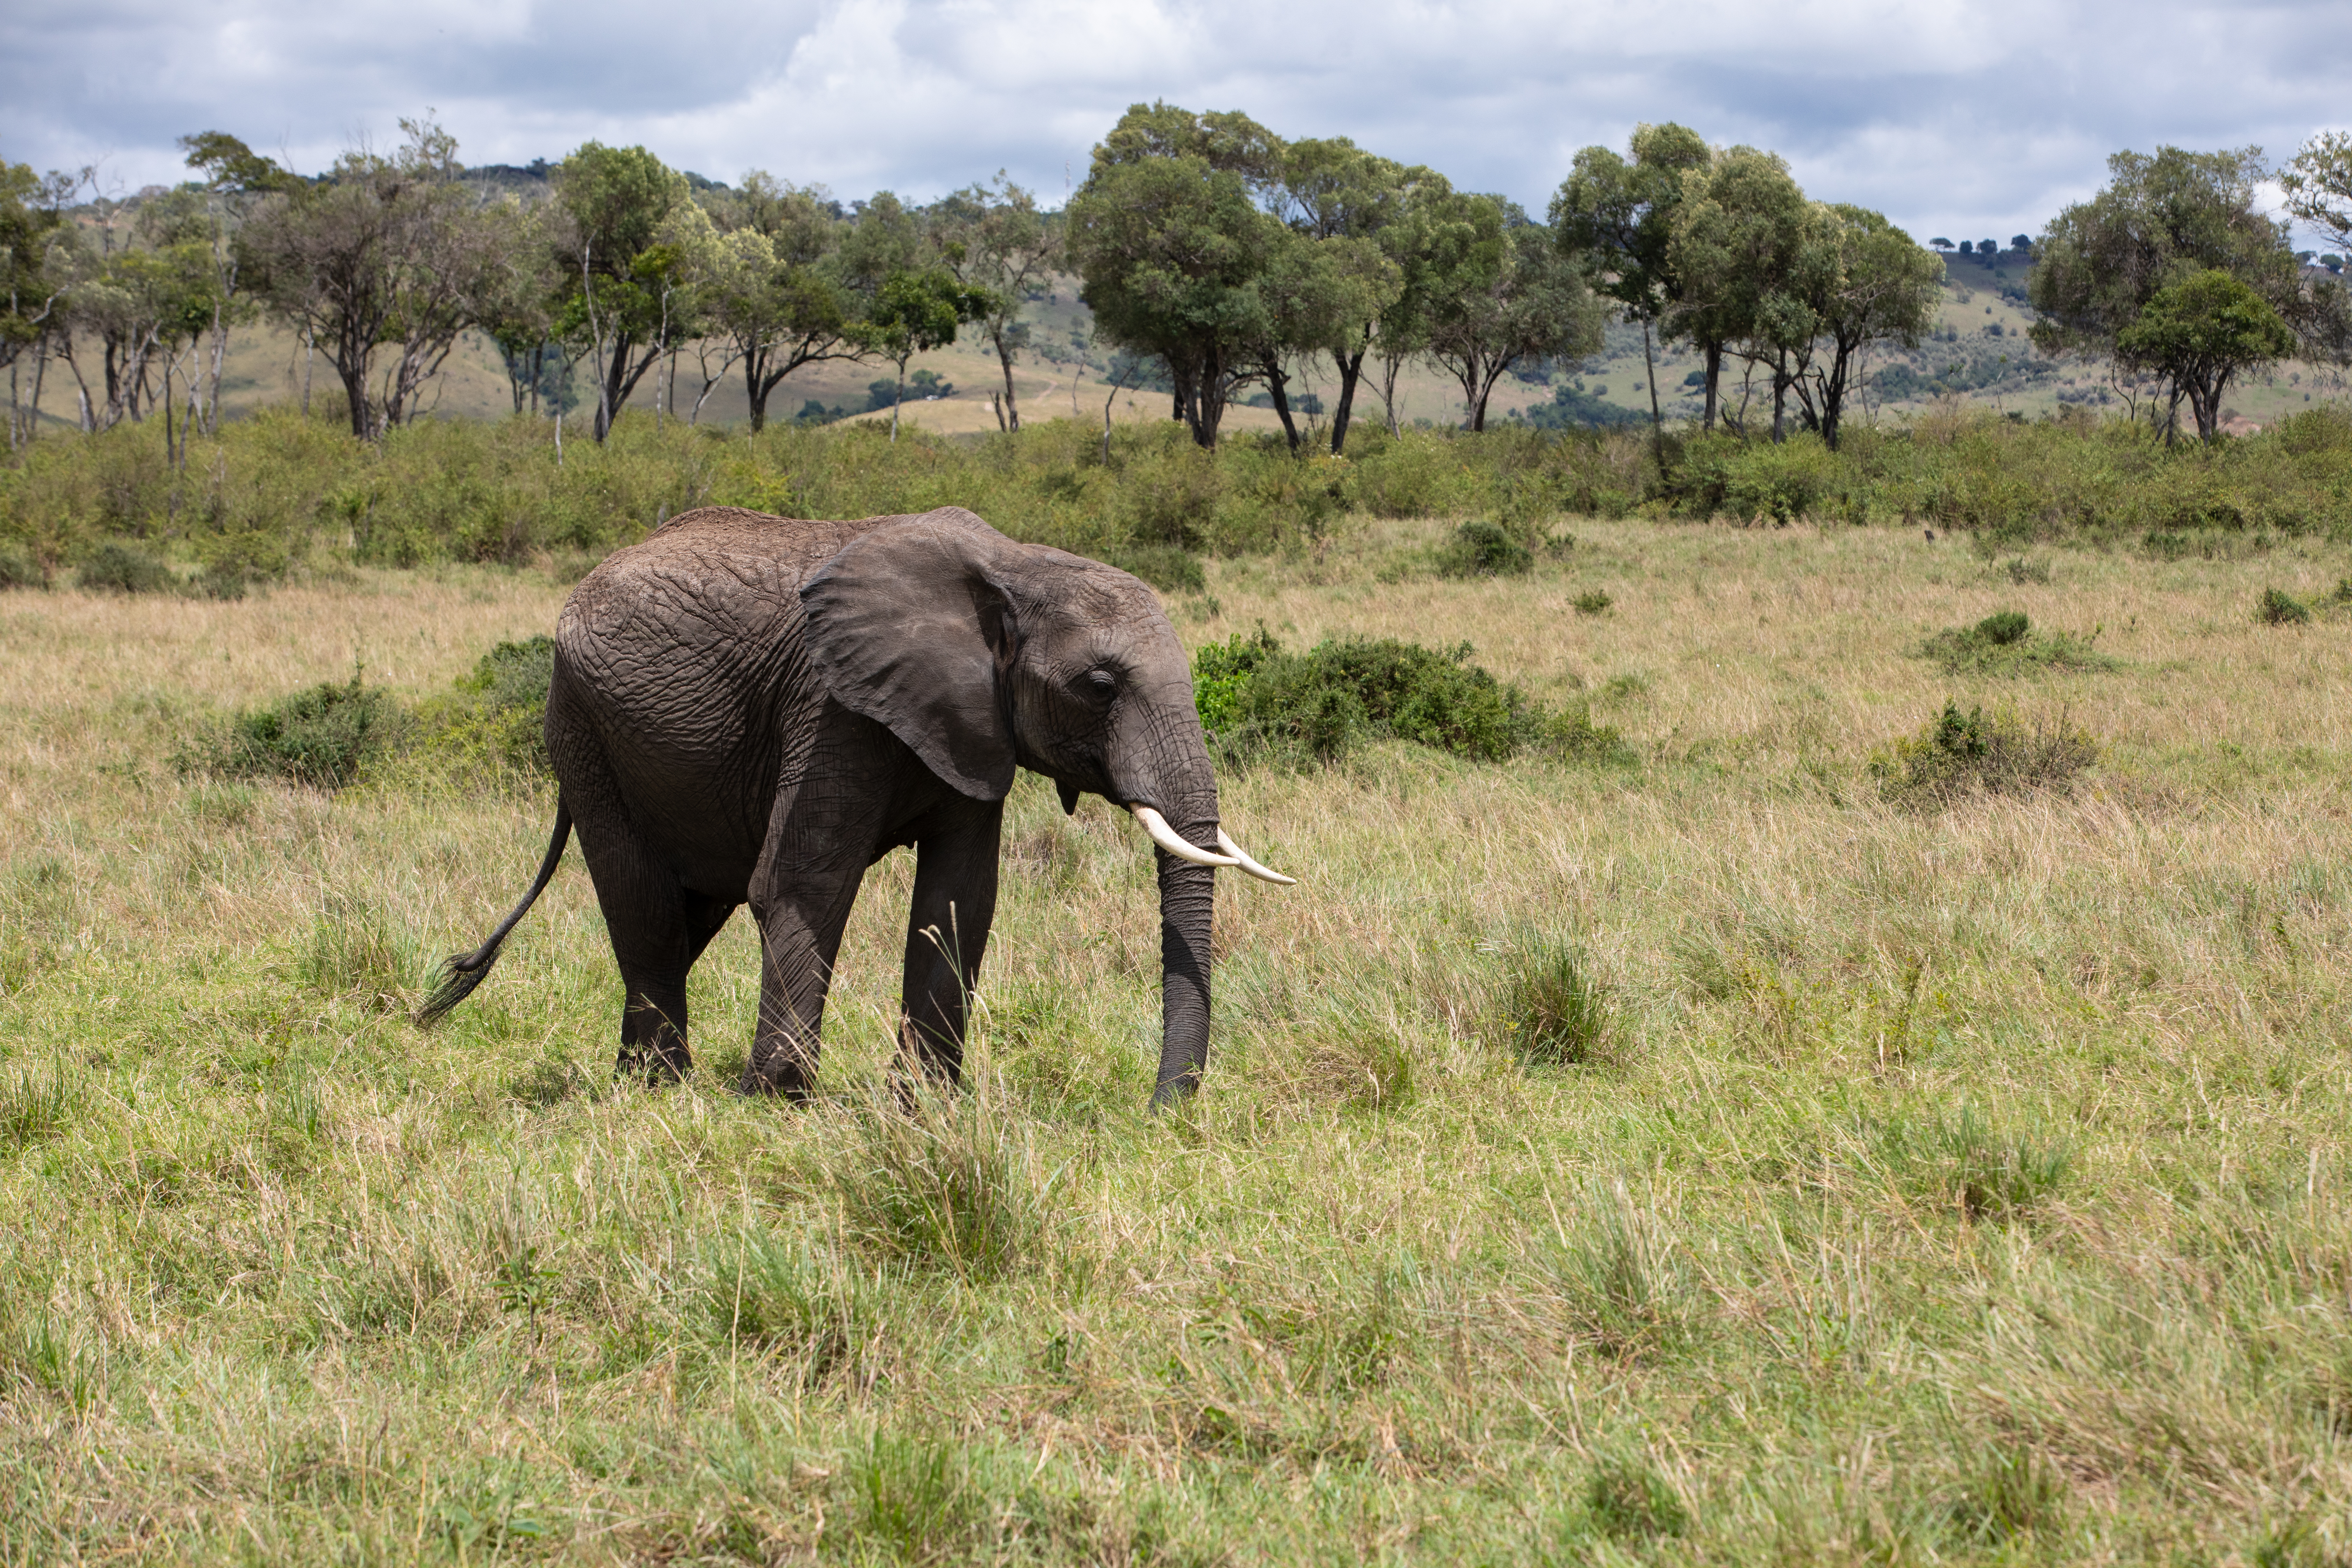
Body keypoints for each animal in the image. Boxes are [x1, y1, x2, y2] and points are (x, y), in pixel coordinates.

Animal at [417, 505, 1292, 1108]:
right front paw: (777, 1099)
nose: (1158, 1109)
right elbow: (806, 883)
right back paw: (663, 1090)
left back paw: (634, 1078)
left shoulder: (970, 725)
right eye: (1102, 686)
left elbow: (959, 900)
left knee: (686, 918)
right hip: (583, 728)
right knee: (644, 906)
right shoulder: (831, 707)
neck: (1015, 565)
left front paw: (926, 1108)